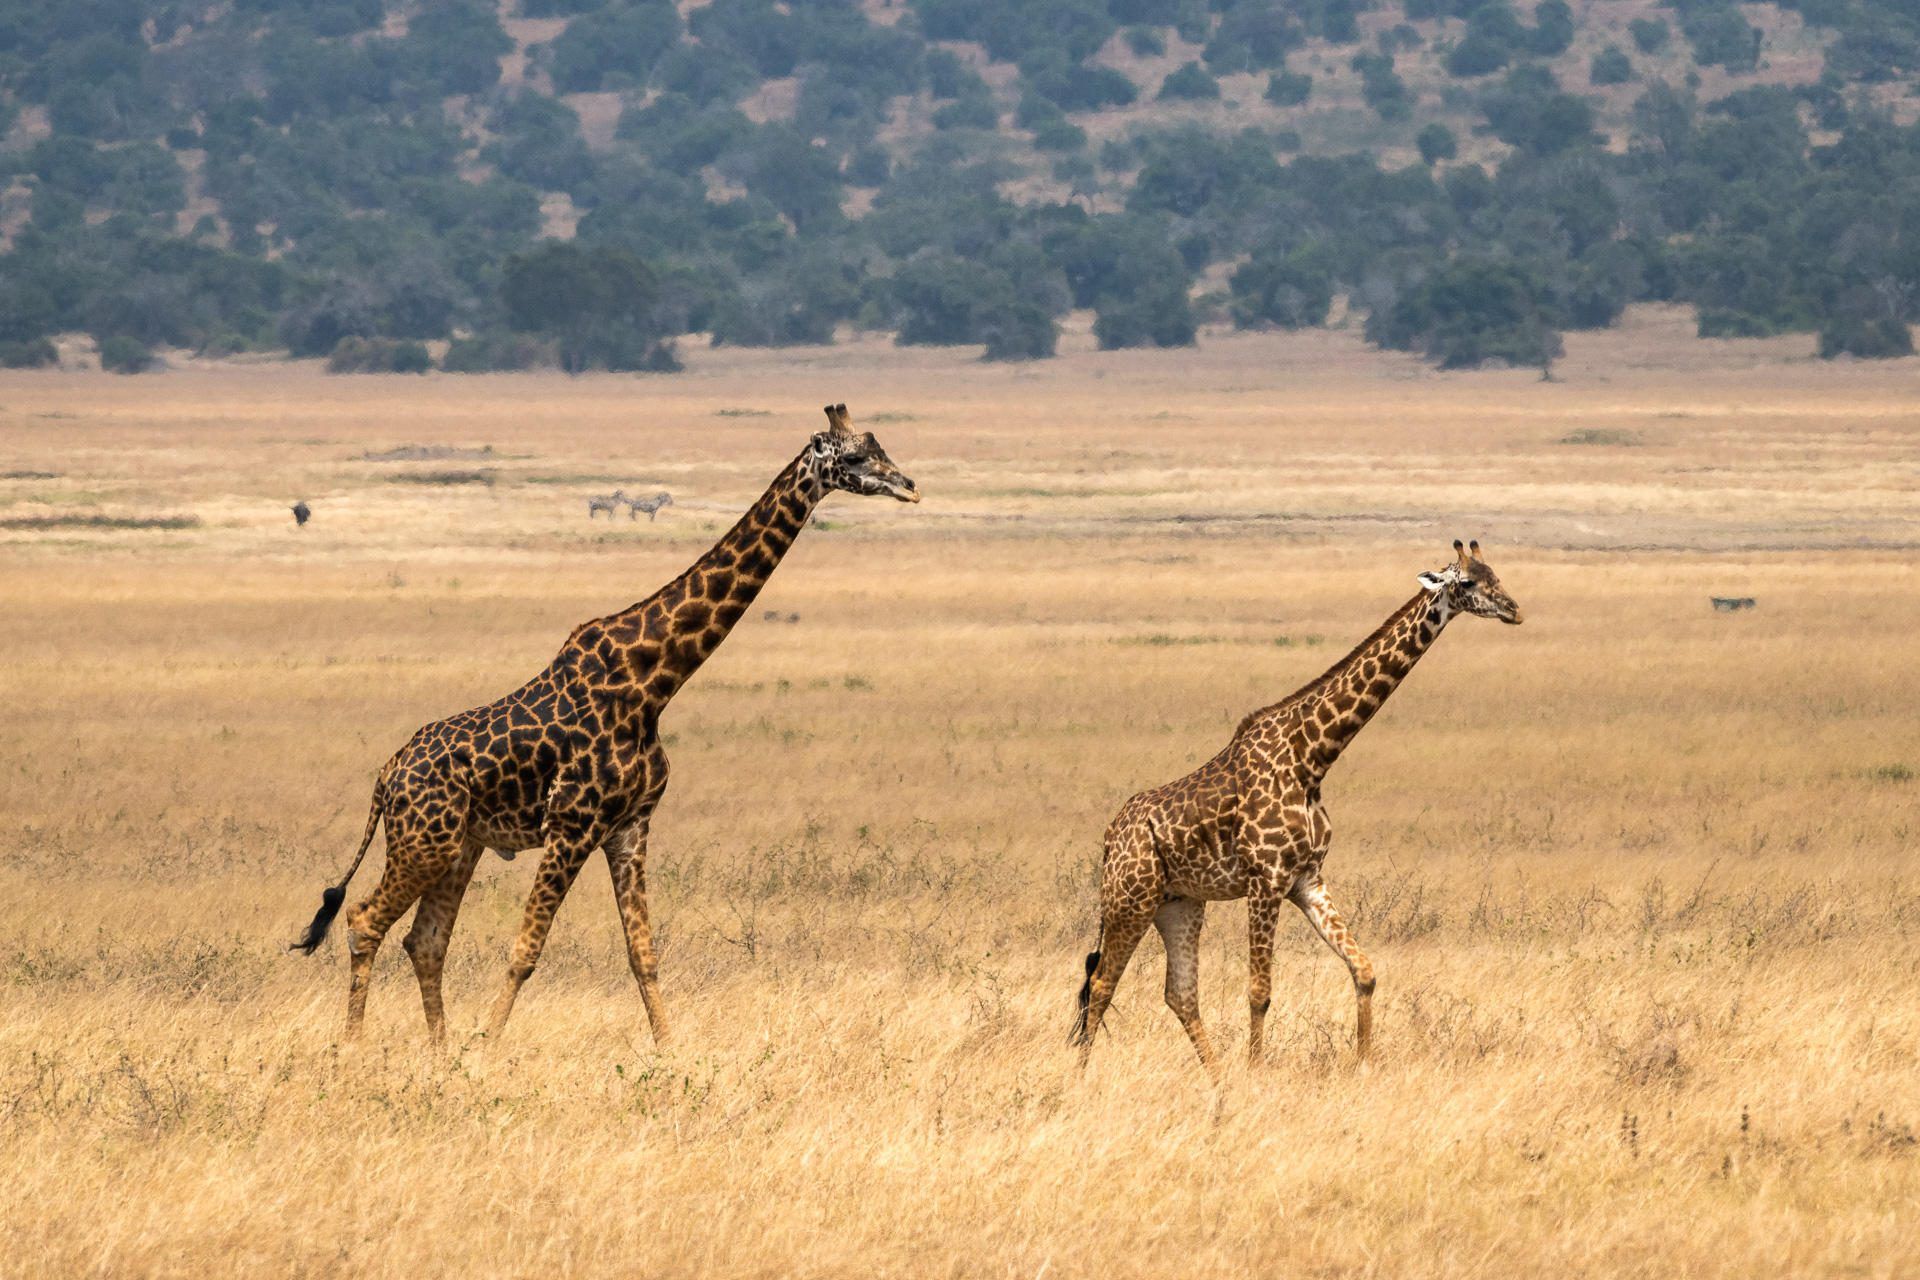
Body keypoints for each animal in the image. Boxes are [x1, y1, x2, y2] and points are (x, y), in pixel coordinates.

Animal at [293, 404, 921, 1043]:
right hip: (424, 840)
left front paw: (669, 1050)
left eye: (880, 447)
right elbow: (525, 950)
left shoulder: (629, 826)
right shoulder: (573, 824)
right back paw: (356, 1047)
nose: (909, 486)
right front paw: (486, 1047)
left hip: (459, 845)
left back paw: (438, 1051)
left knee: (425, 940)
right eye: (854, 457)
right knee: (363, 919)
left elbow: (643, 953)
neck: (654, 684)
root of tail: (386, 775)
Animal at [1075, 545, 1520, 1082]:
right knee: (1102, 984)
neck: (1312, 757)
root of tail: (1108, 837)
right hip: (1129, 900)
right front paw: (1257, 1073)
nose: (1515, 610)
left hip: (1179, 903)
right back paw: (1081, 1079)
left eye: (1496, 573)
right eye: (1469, 583)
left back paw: (1216, 1078)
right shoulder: (1265, 881)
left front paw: (1364, 1065)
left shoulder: (1306, 878)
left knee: (1178, 993)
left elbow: (1364, 970)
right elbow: (1259, 992)